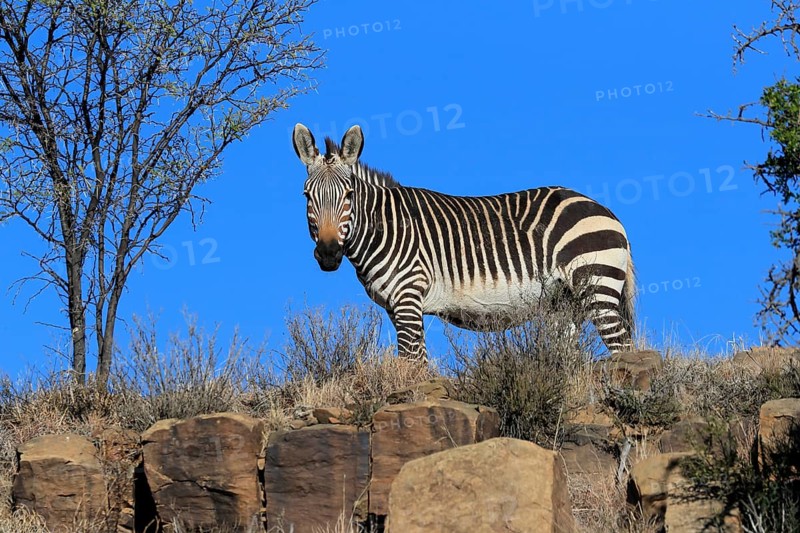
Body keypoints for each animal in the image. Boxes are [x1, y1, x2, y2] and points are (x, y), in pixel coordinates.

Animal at [292, 123, 635, 361]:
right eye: (307, 196)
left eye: (349, 196)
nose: (328, 253)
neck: (384, 227)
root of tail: (604, 210)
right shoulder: (396, 306)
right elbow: (419, 361)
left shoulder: (408, 297)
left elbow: (411, 362)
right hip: (563, 304)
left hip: (596, 283)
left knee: (623, 347)